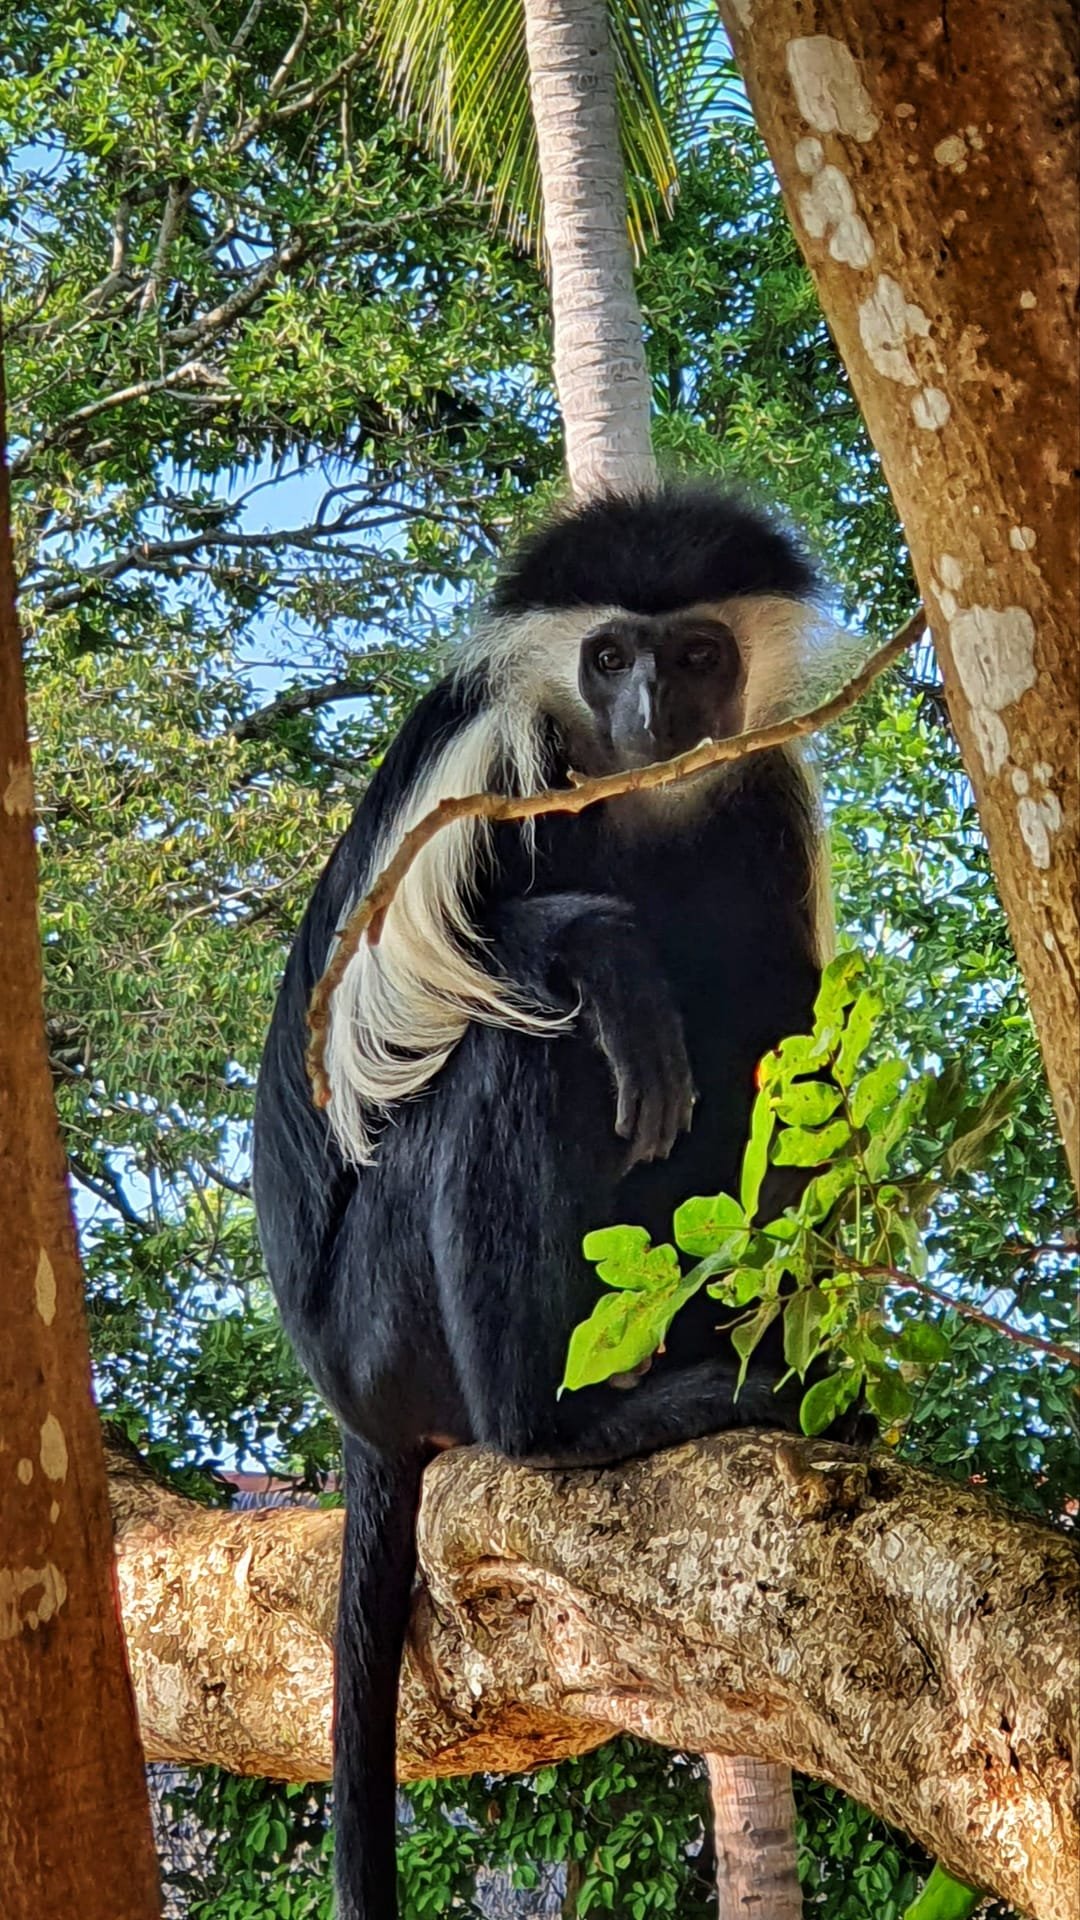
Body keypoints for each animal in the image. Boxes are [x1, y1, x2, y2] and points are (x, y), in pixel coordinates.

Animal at [253, 482, 838, 1920]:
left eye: (697, 654)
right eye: (611, 655)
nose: (652, 714)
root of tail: (349, 1405)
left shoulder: (764, 796)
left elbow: (792, 1058)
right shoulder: (492, 754)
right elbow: (382, 1017)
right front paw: (598, 949)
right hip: (386, 1327)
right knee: (517, 1055)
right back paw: (561, 1429)